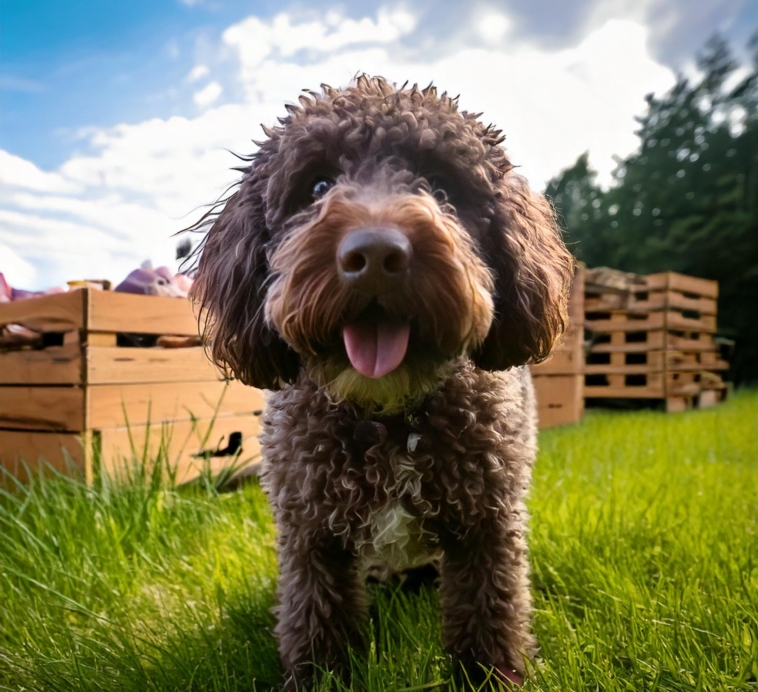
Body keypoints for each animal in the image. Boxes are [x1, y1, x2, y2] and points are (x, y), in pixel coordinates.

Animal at [191, 73, 576, 688]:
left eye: (441, 186)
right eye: (317, 184)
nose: (374, 253)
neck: (389, 417)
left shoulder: (487, 527)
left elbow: (489, 615)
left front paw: (493, 677)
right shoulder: (310, 536)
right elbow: (317, 620)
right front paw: (319, 678)